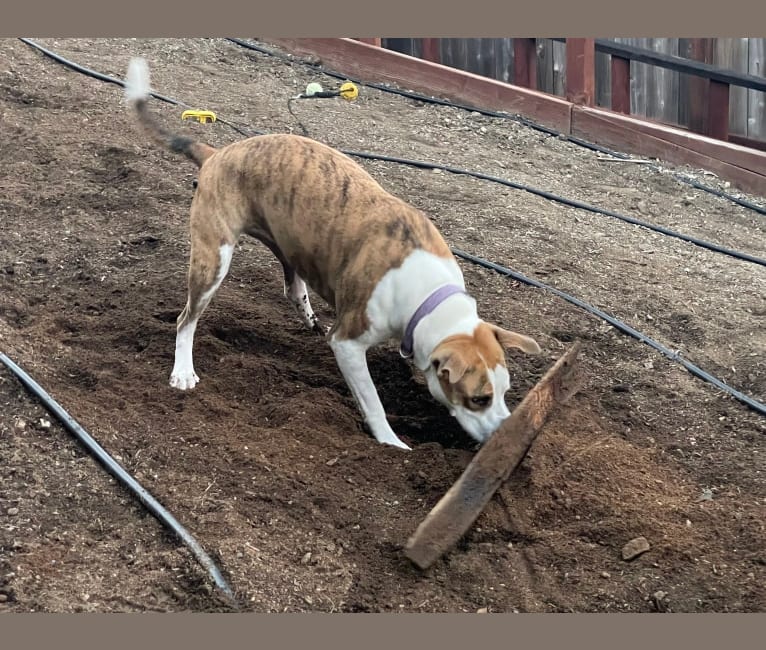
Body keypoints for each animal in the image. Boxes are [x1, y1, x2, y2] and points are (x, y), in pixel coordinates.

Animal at [124, 58, 540, 448]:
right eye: (479, 399)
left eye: (506, 392)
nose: (506, 434)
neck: (428, 295)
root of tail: (218, 152)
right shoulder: (348, 344)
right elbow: (372, 401)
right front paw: (390, 443)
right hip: (213, 260)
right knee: (186, 319)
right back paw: (183, 370)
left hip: (287, 242)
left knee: (293, 287)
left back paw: (309, 318)